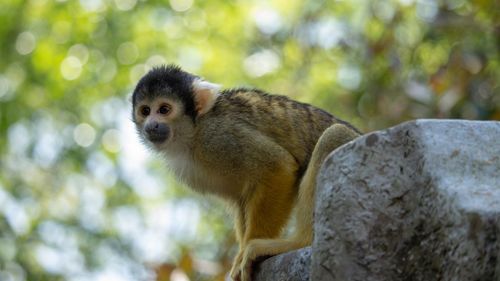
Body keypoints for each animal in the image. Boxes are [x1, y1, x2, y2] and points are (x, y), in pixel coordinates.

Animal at [131, 64, 362, 278]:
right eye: (145, 111)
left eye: (164, 109)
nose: (151, 125)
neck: (192, 132)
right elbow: (242, 197)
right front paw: (241, 252)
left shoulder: (219, 136)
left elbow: (277, 166)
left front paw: (247, 251)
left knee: (334, 134)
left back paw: (300, 242)